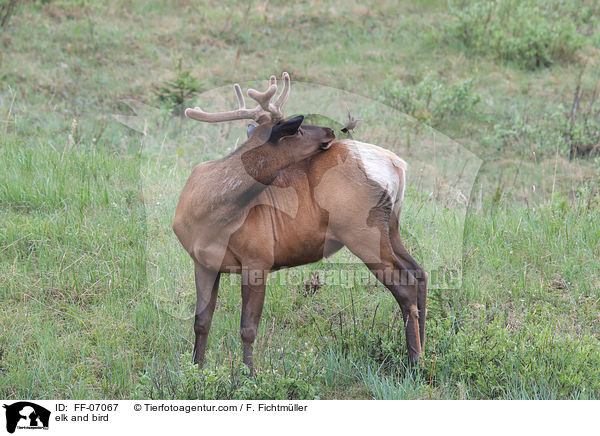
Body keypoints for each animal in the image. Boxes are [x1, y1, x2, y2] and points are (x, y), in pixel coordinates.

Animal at [172, 72, 426, 374]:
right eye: (297, 130)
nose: (330, 130)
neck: (208, 212)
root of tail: (396, 163)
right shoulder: (203, 262)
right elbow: (201, 322)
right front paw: (196, 370)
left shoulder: (259, 257)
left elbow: (248, 328)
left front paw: (249, 376)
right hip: (391, 226)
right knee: (419, 273)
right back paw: (425, 350)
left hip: (363, 231)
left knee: (405, 284)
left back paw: (415, 363)